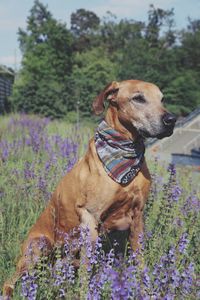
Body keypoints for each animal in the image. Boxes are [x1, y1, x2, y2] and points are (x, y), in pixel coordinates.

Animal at [2, 78, 176, 296]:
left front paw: (145, 289)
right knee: (10, 280)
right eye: (138, 98)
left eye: (162, 99)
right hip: (38, 246)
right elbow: (87, 271)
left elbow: (140, 260)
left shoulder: (137, 217)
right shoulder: (89, 217)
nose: (171, 119)